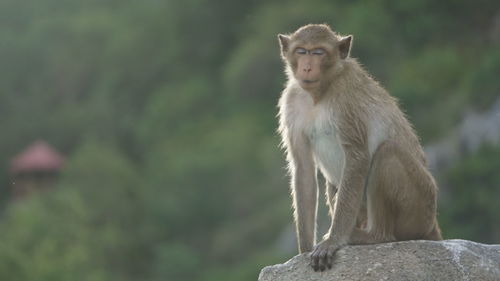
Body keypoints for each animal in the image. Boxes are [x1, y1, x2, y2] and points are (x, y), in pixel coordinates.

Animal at [276, 24, 444, 272]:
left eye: (318, 52)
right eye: (302, 51)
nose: (307, 67)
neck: (319, 93)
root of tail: (432, 224)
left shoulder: (345, 100)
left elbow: (357, 157)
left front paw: (333, 241)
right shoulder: (292, 101)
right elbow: (304, 168)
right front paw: (304, 249)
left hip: (420, 205)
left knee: (387, 153)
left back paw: (374, 235)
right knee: (334, 183)